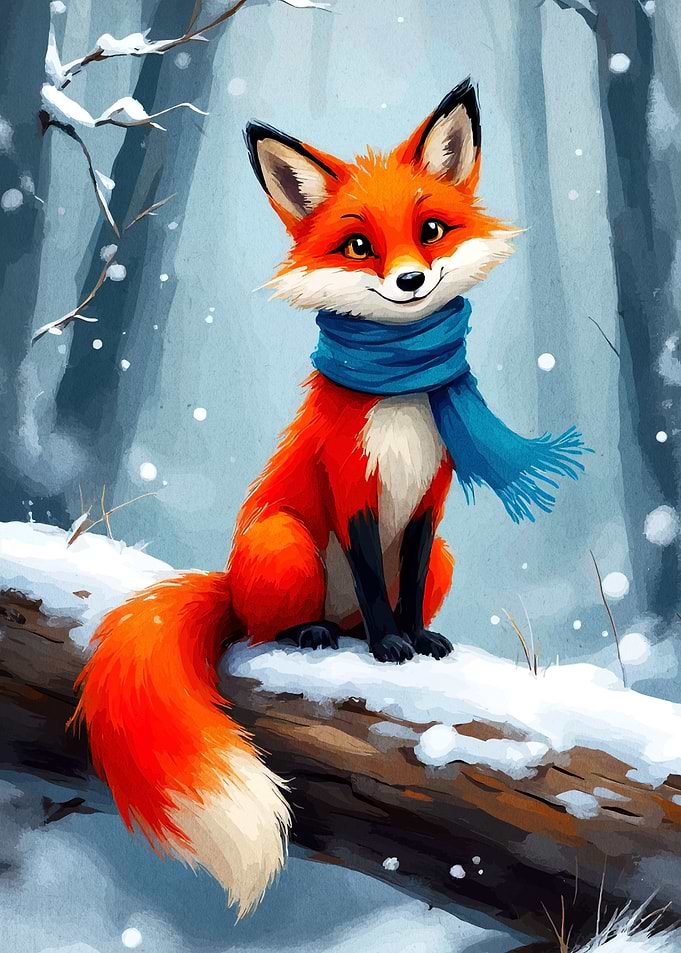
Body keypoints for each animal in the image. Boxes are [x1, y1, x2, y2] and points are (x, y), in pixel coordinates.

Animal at [72, 79, 586, 918]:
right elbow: (374, 581)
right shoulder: (351, 488)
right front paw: (386, 649)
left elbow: (404, 579)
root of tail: (226, 579)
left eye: (431, 230)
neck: (401, 402)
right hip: (283, 541)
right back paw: (313, 633)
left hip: (444, 556)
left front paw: (414, 641)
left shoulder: (429, 502)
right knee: (262, 626)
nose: (410, 281)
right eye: (356, 246)